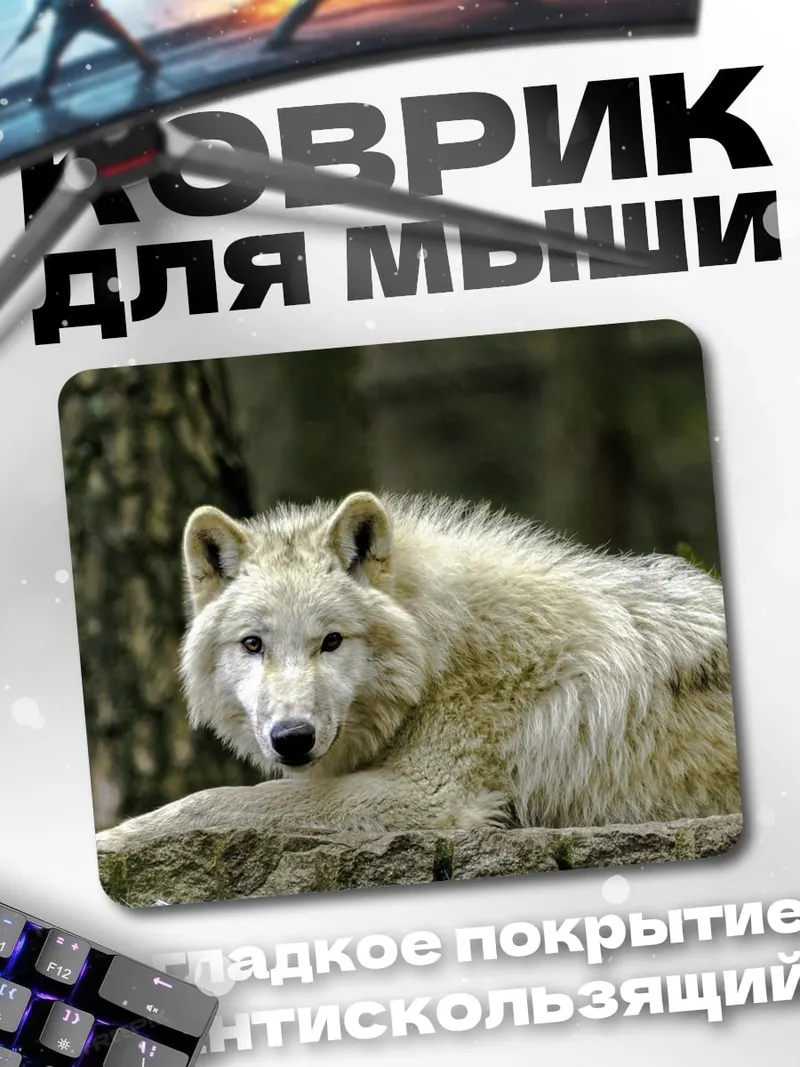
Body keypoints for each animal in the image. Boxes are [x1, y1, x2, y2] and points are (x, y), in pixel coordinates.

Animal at [96, 490, 740, 848]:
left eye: (332, 641)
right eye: (253, 644)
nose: (292, 738)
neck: (439, 653)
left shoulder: (427, 798)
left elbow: (214, 800)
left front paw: (109, 840)